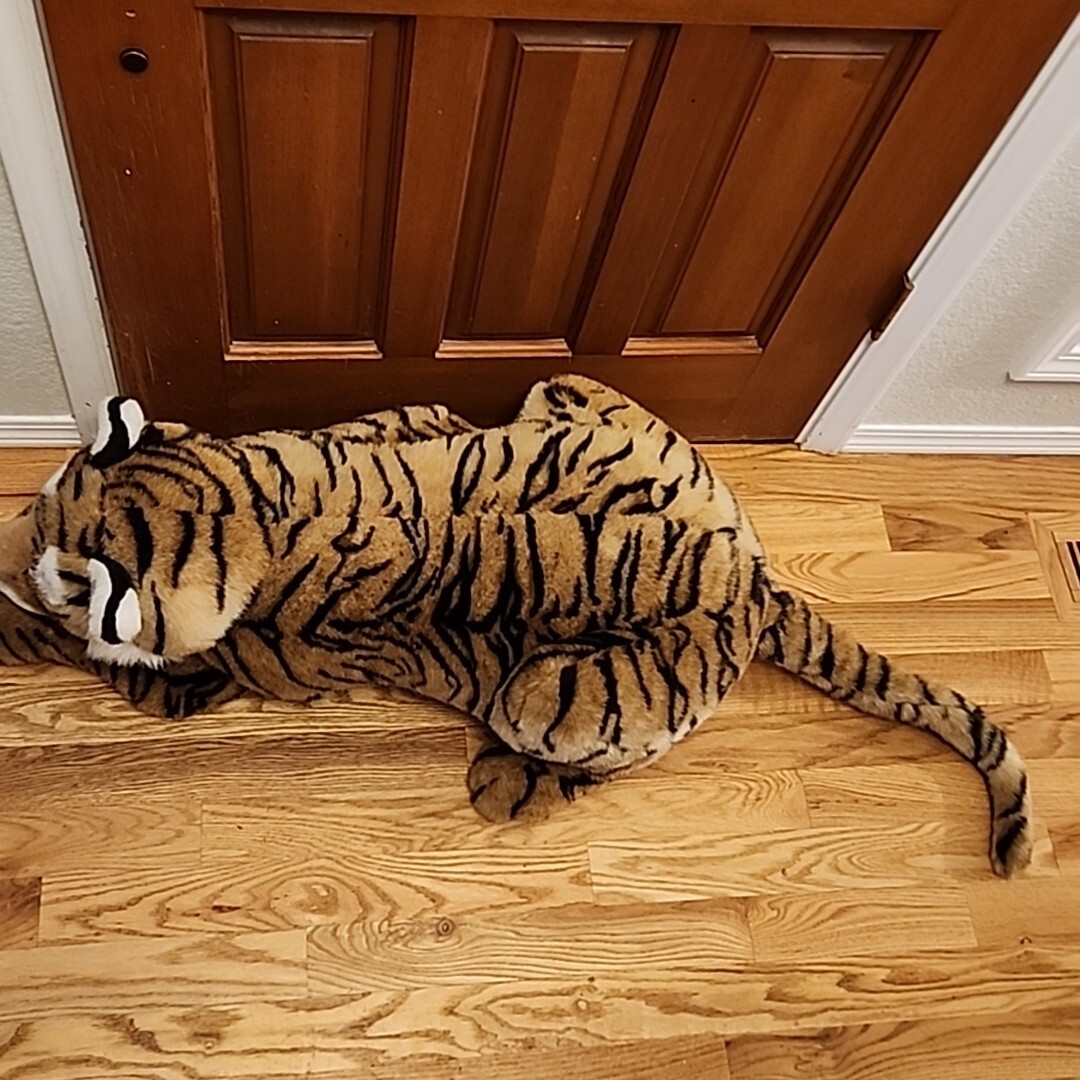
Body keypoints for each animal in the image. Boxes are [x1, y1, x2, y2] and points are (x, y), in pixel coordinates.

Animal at [0, 375, 1032, 876]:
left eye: (64, 563)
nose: (27, 550)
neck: (239, 509)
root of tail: (756, 586)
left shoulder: (192, 675)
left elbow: (75, 644)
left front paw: (12, 596)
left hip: (546, 693)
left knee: (597, 759)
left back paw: (503, 781)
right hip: (568, 387)